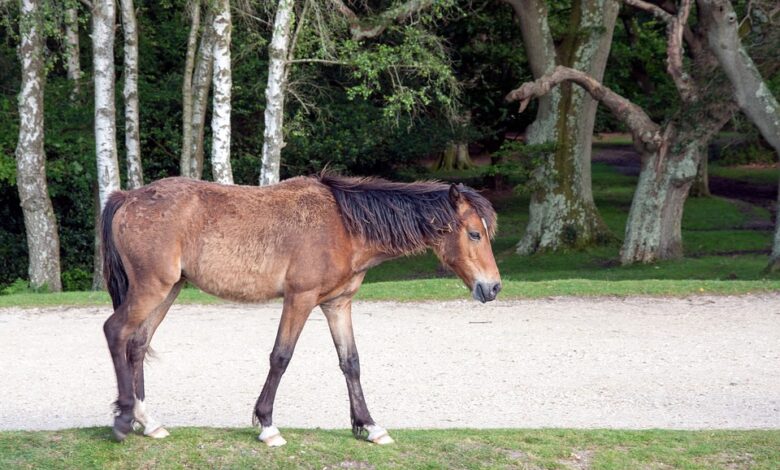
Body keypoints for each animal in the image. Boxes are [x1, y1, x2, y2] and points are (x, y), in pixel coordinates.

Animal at [100, 174, 500, 446]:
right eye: (474, 234)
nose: (493, 287)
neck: (344, 226)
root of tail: (128, 197)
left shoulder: (337, 304)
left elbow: (351, 362)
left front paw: (369, 426)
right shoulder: (300, 299)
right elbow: (281, 356)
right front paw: (267, 426)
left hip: (168, 290)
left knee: (137, 344)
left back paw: (147, 421)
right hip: (151, 289)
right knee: (115, 332)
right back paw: (123, 419)